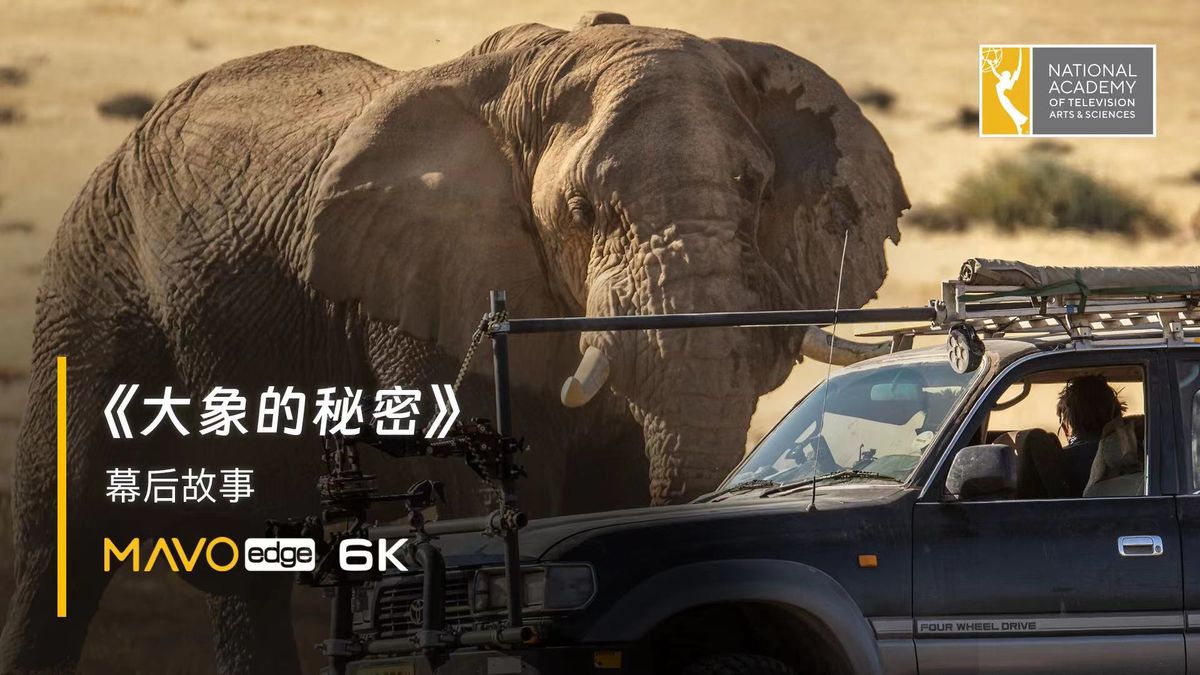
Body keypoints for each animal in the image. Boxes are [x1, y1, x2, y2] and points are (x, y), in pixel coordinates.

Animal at [0, 11, 906, 674]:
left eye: (755, 188)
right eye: (582, 211)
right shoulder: (422, 283)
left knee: (246, 576)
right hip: (96, 279)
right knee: (58, 540)